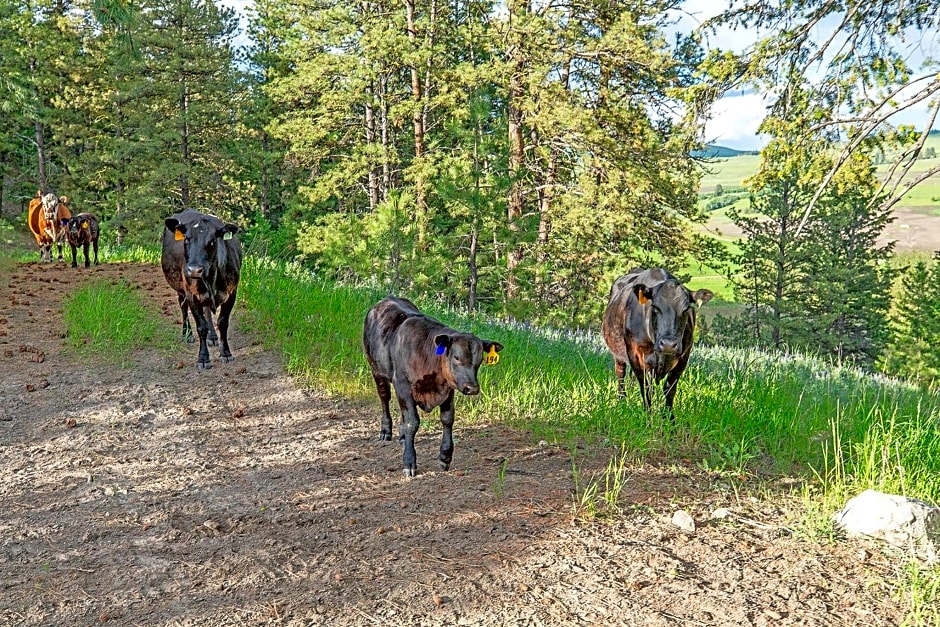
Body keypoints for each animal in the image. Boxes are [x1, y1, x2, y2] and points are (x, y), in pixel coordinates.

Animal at [162, 211, 244, 370]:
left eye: (212, 241)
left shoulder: (232, 292)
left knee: (207, 311)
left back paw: (212, 337)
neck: (211, 280)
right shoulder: (192, 295)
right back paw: (187, 334)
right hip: (181, 289)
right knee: (183, 307)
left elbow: (222, 322)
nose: (194, 270)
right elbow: (201, 327)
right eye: (186, 239)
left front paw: (225, 353)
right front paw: (203, 358)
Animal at [364, 296, 504, 478]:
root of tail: (388, 298)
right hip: (376, 369)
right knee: (384, 398)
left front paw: (445, 457)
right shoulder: (403, 385)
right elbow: (412, 422)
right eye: (456, 357)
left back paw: (402, 437)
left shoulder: (448, 389)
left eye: (480, 360)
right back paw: (386, 431)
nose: (472, 388)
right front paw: (409, 462)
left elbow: (447, 419)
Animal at [604, 268, 712, 420]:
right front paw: (648, 418)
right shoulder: (635, 355)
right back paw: (622, 401)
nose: (668, 344)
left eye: (686, 309)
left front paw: (669, 420)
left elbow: (669, 389)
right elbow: (647, 389)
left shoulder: (683, 357)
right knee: (621, 374)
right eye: (655, 307)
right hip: (618, 355)